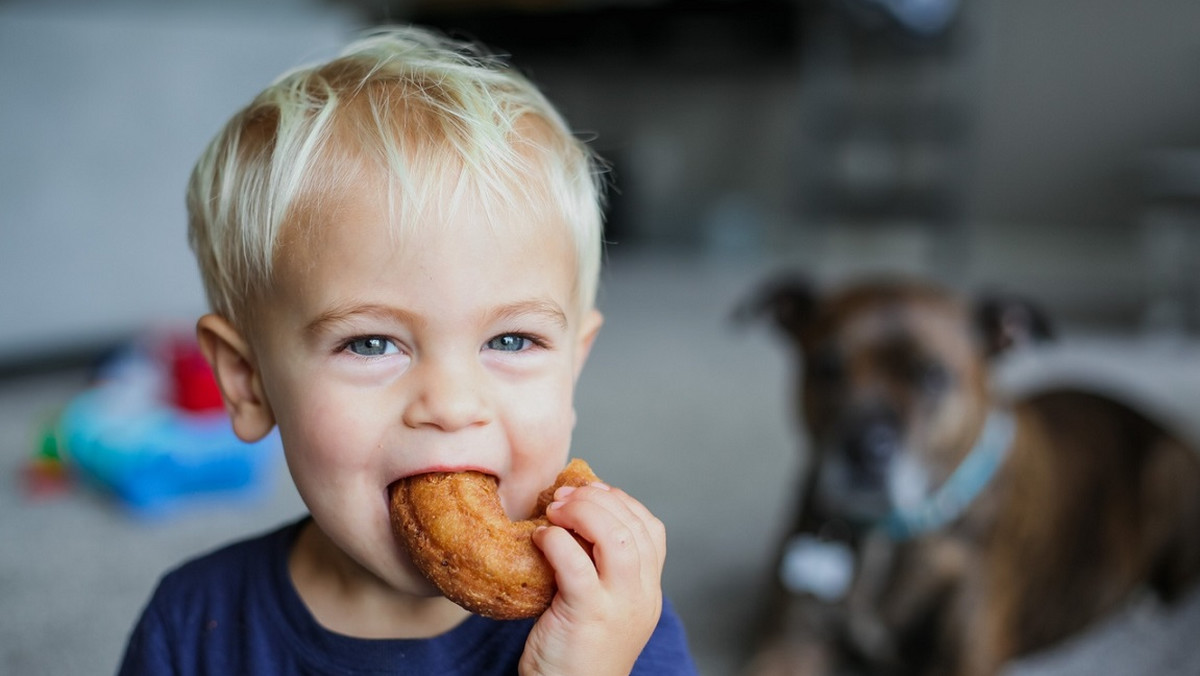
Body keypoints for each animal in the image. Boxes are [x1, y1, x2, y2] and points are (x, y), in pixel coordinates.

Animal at [734, 274, 1200, 676]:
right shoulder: (789, 644)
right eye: (828, 367)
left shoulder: (961, 659)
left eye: (933, 375)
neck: (888, 535)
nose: (864, 450)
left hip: (1169, 473)